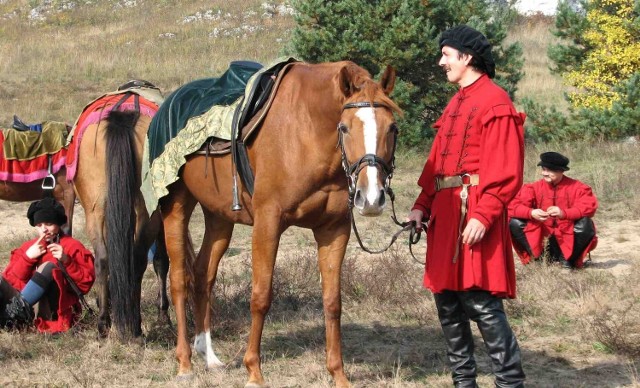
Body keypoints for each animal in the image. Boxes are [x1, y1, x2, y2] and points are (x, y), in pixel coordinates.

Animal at [156, 62, 400, 386]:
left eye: (392, 128)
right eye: (345, 127)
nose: (371, 198)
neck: (306, 132)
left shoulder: (334, 230)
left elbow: (332, 302)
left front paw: (338, 374)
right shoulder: (267, 223)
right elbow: (260, 297)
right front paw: (253, 371)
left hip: (219, 217)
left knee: (203, 275)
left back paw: (209, 357)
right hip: (176, 207)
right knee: (179, 280)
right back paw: (184, 363)